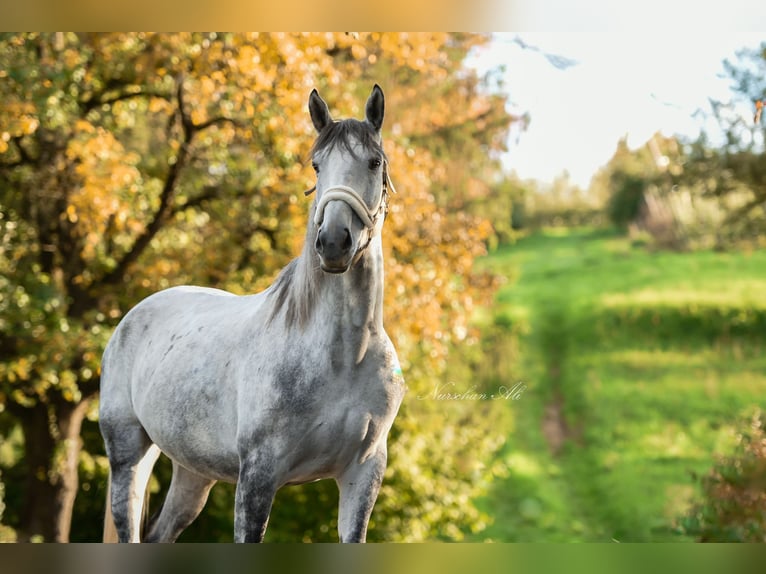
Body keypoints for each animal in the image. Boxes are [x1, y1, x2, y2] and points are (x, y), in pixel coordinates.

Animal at [101, 85, 408, 544]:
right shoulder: (258, 476)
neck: (343, 356)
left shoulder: (363, 474)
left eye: (373, 162)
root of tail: (131, 317)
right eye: (317, 165)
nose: (333, 243)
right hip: (127, 455)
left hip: (194, 471)